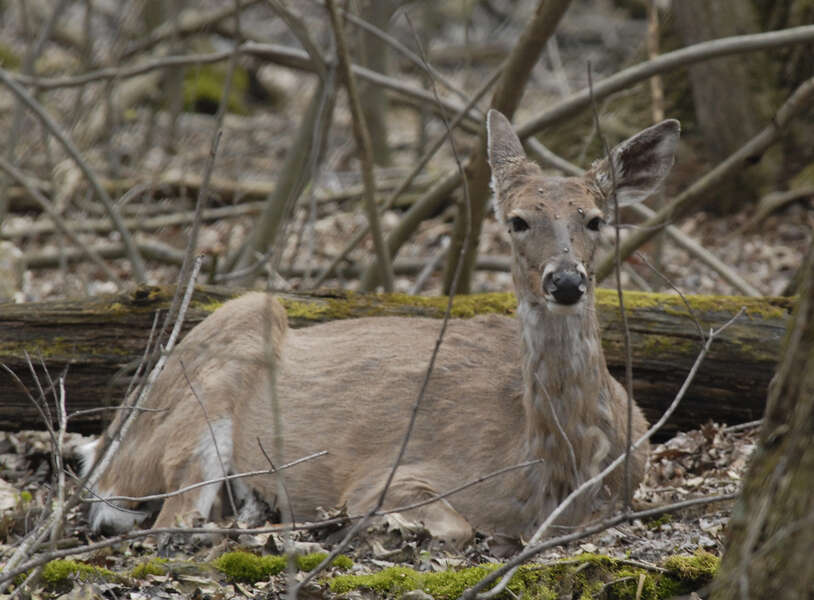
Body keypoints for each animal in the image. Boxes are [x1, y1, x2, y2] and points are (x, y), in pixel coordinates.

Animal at [81, 110, 684, 548]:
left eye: (596, 219)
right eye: (517, 220)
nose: (564, 280)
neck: (555, 479)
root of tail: (111, 441)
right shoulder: (390, 474)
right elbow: (454, 524)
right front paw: (370, 525)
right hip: (202, 388)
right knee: (159, 515)